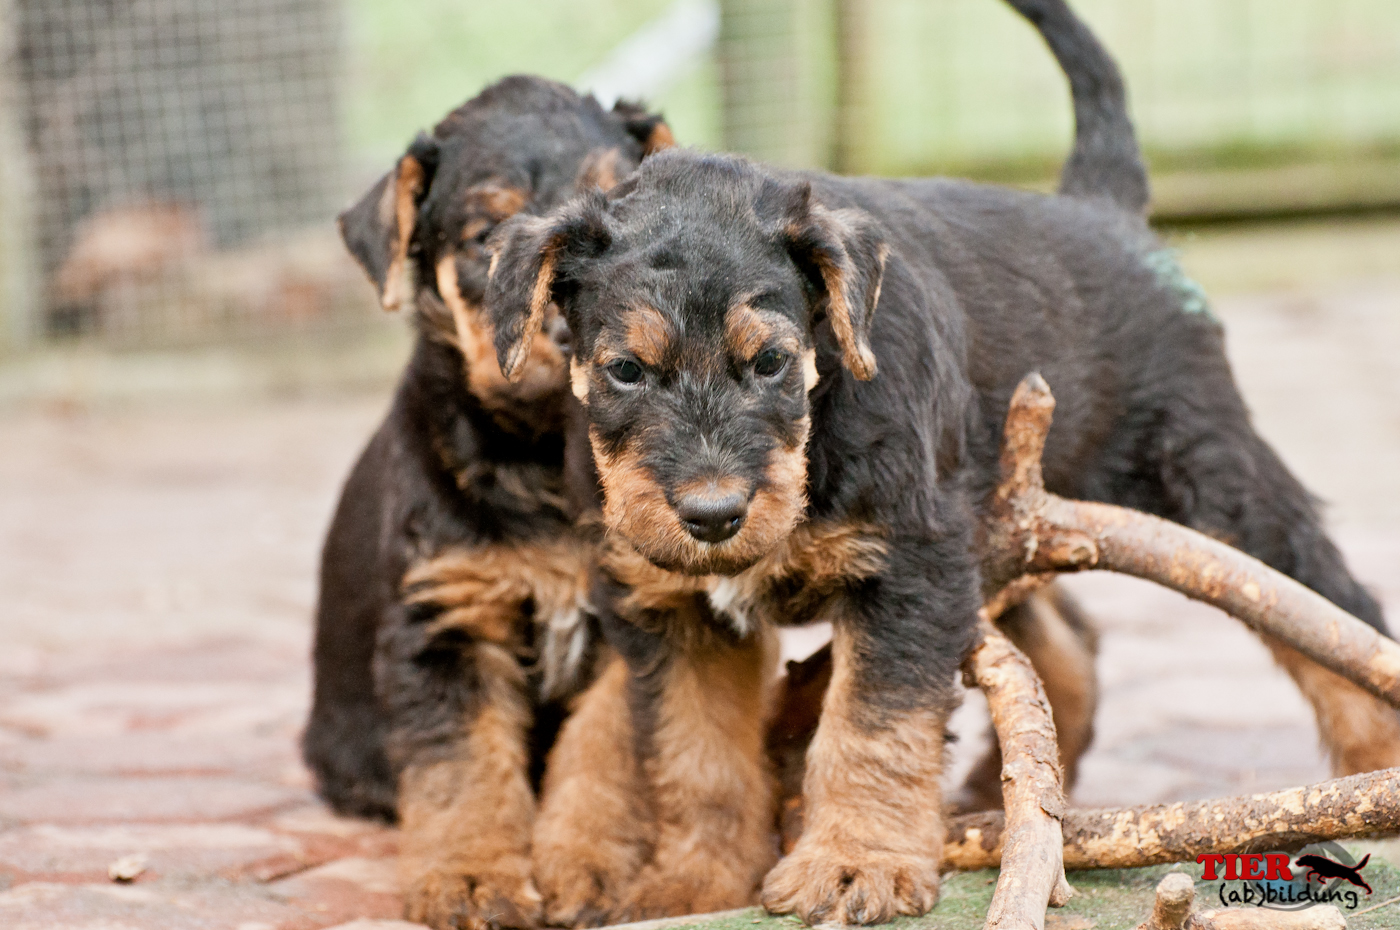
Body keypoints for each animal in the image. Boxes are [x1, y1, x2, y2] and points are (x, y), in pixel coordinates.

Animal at [305, 76, 672, 924]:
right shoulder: (448, 622)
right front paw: (473, 880)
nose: (578, 331)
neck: (546, 454)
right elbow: (464, 773)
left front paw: (588, 867)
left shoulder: (627, 622)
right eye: (483, 237)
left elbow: (603, 755)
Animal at [484, 1, 1400, 924]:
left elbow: (870, 725)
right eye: (624, 370)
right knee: (1067, 644)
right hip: (1007, 512)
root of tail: (1103, 212)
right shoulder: (671, 607)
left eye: (770, 361)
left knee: (1331, 621)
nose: (713, 516)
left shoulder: (910, 569)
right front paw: (697, 882)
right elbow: (695, 754)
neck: (823, 404)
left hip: (1216, 481)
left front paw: (853, 863)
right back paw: (997, 795)